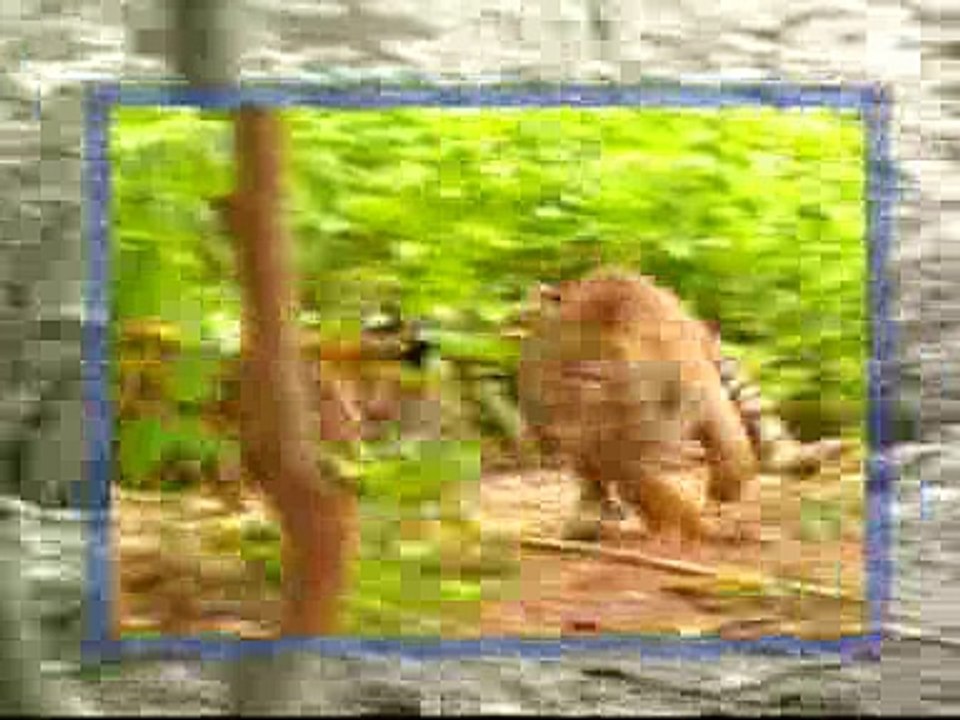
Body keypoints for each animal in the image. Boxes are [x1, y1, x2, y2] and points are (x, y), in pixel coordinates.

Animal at [516, 268, 758, 542]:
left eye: (591, 376)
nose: (544, 435)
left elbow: (730, 443)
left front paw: (722, 495)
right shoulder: (618, 452)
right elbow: (652, 491)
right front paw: (693, 525)